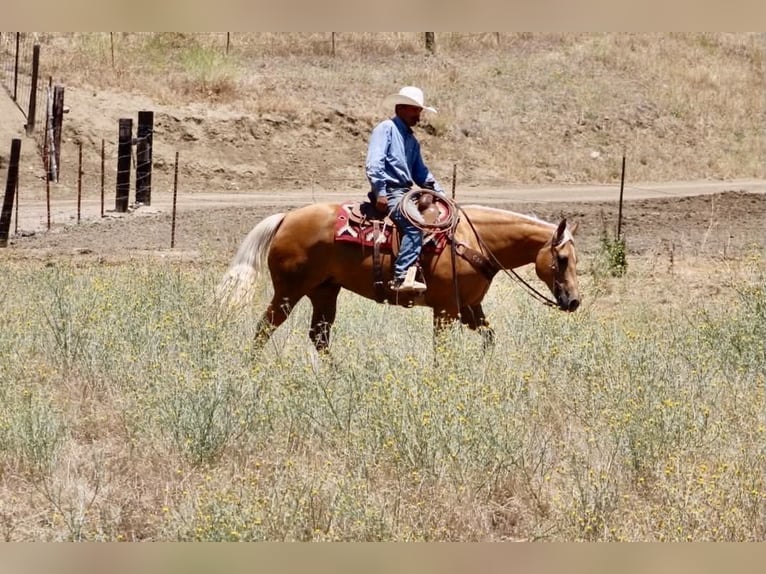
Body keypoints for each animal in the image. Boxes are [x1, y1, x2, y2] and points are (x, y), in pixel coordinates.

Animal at [217, 196, 581, 352]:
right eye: (562, 259)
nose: (574, 301)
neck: (474, 239)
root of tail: (285, 218)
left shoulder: (469, 308)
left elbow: (490, 339)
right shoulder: (446, 310)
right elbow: (442, 351)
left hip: (324, 291)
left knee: (319, 337)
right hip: (288, 291)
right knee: (263, 329)